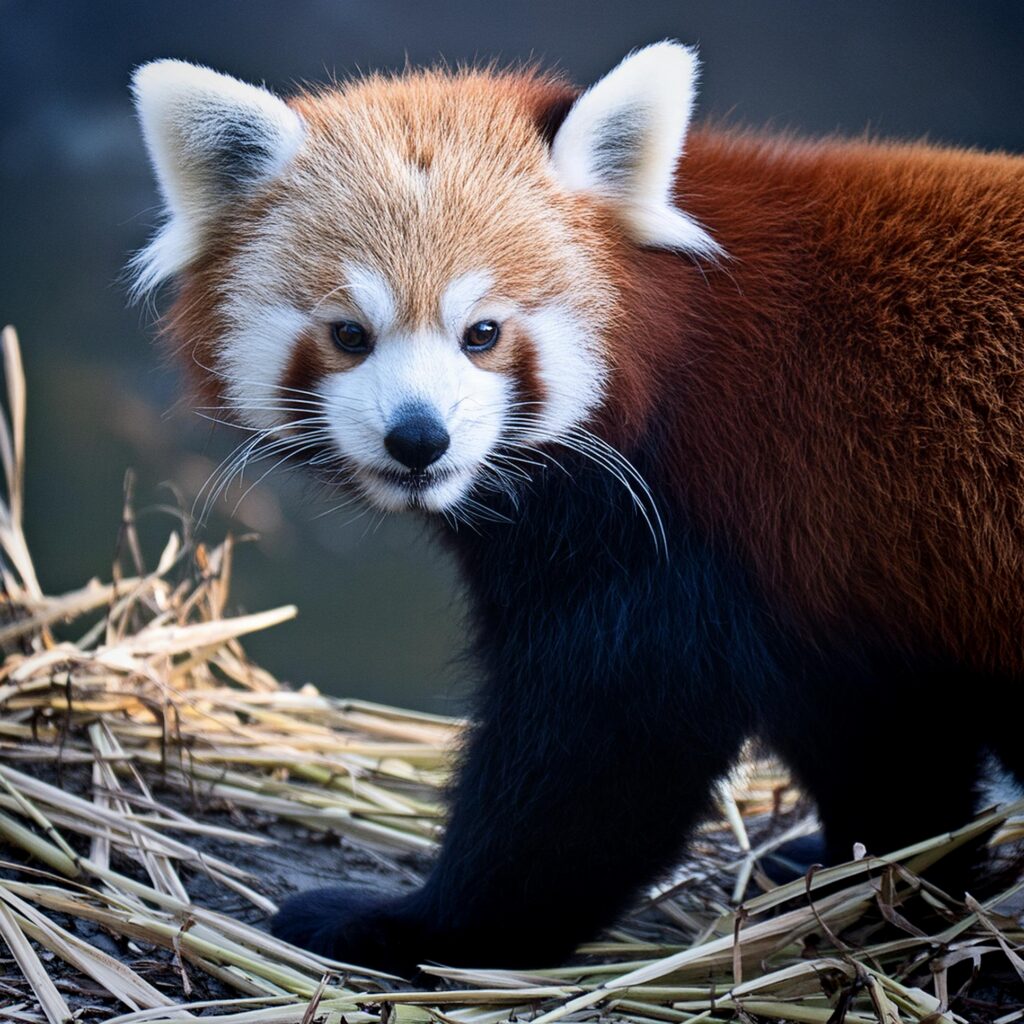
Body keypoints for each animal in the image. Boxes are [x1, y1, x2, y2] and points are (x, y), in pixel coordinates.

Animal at [132, 44, 1024, 974]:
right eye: (349, 334)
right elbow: (890, 751)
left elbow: (600, 755)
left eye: (482, 333)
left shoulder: (679, 533)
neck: (673, 348)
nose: (419, 439)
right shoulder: (834, 582)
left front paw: (418, 927)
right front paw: (877, 880)